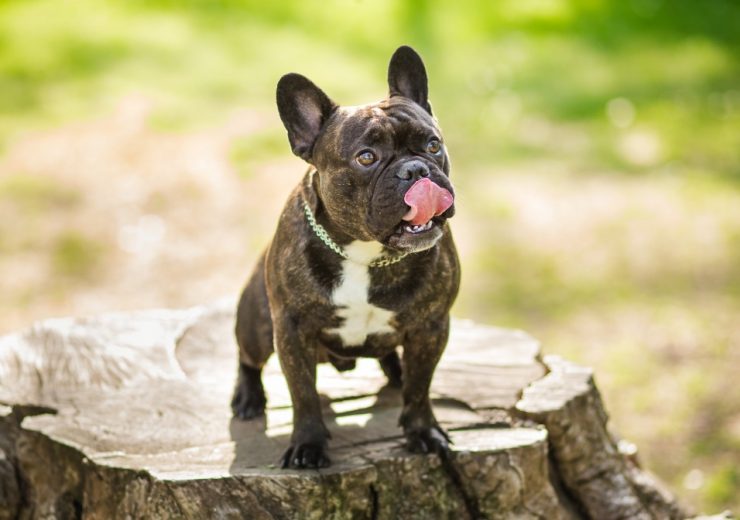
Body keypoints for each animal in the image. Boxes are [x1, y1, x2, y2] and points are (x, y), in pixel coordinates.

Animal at [234, 45, 460, 468]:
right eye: (366, 157)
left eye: (433, 145)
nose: (415, 169)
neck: (367, 254)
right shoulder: (291, 330)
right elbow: (303, 395)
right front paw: (308, 445)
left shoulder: (431, 327)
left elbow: (421, 388)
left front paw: (424, 431)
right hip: (257, 323)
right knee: (248, 358)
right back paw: (248, 397)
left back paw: (396, 370)